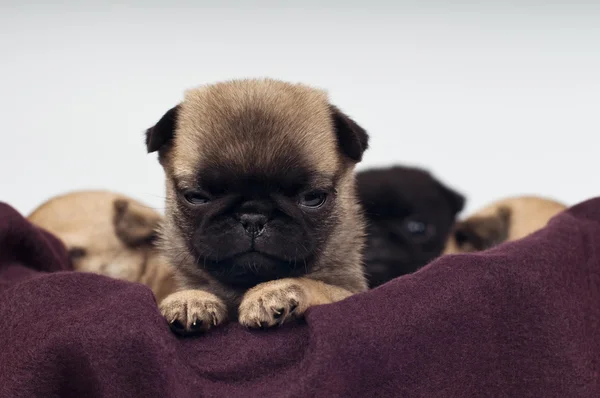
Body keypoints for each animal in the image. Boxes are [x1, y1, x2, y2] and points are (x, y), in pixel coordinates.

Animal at [146, 77, 370, 332]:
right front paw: (190, 298)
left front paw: (274, 291)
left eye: (312, 198)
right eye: (196, 197)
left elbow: (316, 284)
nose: (253, 217)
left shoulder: (350, 292)